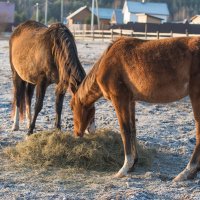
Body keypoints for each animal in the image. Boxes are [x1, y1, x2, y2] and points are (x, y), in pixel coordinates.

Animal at [70, 36, 200, 181]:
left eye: (71, 107)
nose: (77, 133)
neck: (106, 61)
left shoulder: (119, 99)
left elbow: (124, 130)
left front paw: (125, 168)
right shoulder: (131, 101)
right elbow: (133, 130)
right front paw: (133, 164)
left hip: (196, 96)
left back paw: (186, 172)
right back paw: (193, 172)